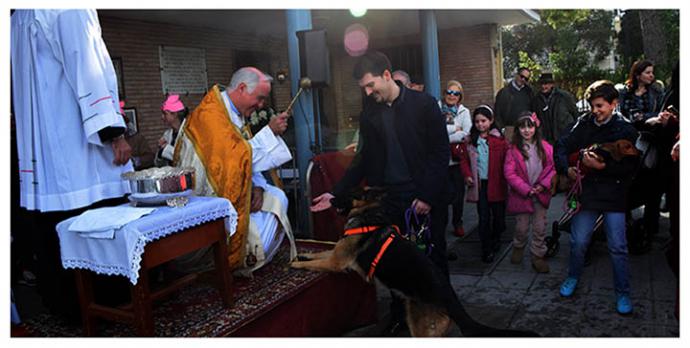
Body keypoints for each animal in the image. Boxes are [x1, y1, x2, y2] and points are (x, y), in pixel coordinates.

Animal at [290, 188, 536, 338]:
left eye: (348, 193)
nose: (330, 199)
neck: (368, 213)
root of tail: (450, 295)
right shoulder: (335, 254)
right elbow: (318, 255)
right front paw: (301, 255)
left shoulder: (337, 261)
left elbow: (318, 263)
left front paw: (296, 265)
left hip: (418, 323)